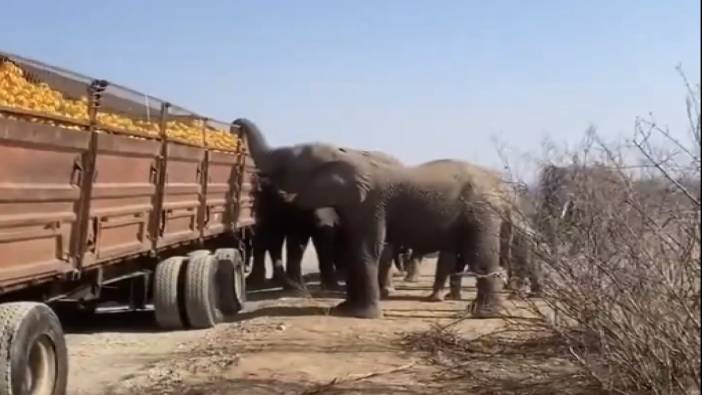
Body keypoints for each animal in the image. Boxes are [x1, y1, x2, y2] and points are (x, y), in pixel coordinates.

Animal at [234, 117, 516, 318]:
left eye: (288, 164)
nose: (237, 123)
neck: (347, 154)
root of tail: (500, 190)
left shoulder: (370, 204)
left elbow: (365, 248)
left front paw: (361, 315)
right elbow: (352, 248)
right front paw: (344, 309)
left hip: (481, 214)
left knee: (481, 257)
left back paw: (483, 314)